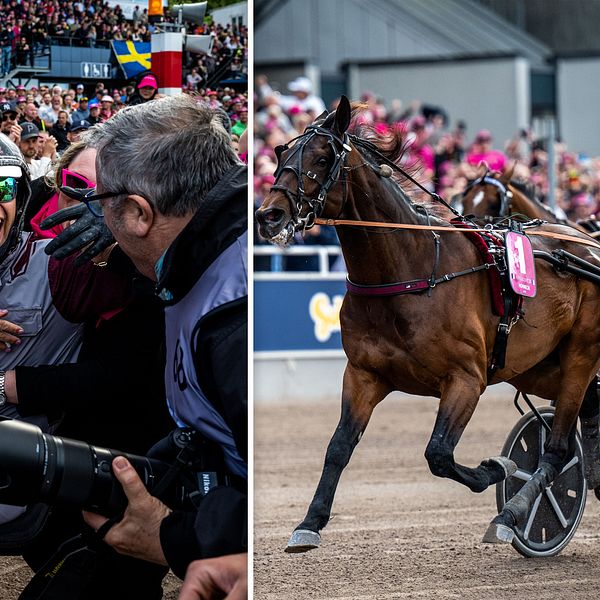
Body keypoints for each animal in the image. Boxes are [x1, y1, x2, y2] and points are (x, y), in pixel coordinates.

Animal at [255, 97, 600, 552]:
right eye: (281, 154)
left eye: (322, 157)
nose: (269, 215)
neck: (412, 270)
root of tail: (588, 246)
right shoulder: (363, 374)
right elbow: (339, 446)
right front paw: (309, 522)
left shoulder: (466, 378)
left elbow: (438, 453)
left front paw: (498, 468)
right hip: (540, 367)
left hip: (579, 355)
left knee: (557, 449)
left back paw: (511, 514)